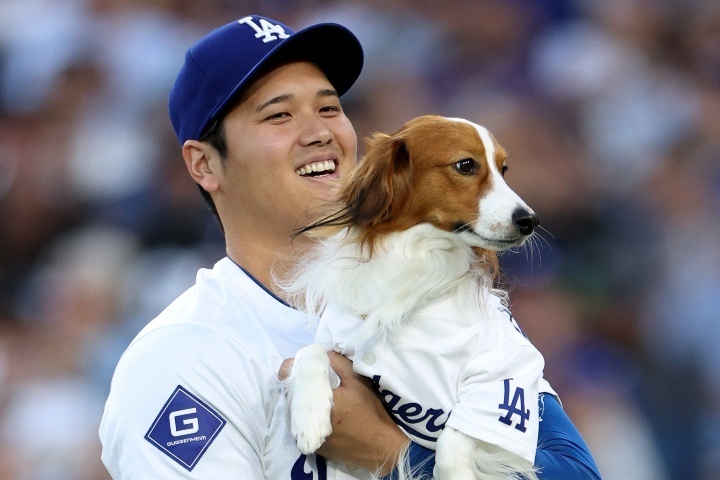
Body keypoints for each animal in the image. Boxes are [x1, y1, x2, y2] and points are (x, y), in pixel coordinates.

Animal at [284, 116, 544, 480]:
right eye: (466, 165)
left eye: (503, 169)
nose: (529, 220)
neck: (420, 256)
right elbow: (310, 351)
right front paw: (309, 416)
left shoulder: (503, 376)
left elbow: (454, 438)